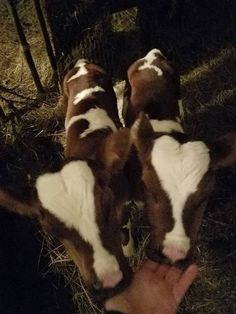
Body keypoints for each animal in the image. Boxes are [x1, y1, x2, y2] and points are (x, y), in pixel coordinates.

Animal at [0, 59, 134, 300]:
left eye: (108, 206)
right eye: (53, 231)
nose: (110, 282)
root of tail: (82, 63)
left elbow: (126, 230)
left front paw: (130, 250)